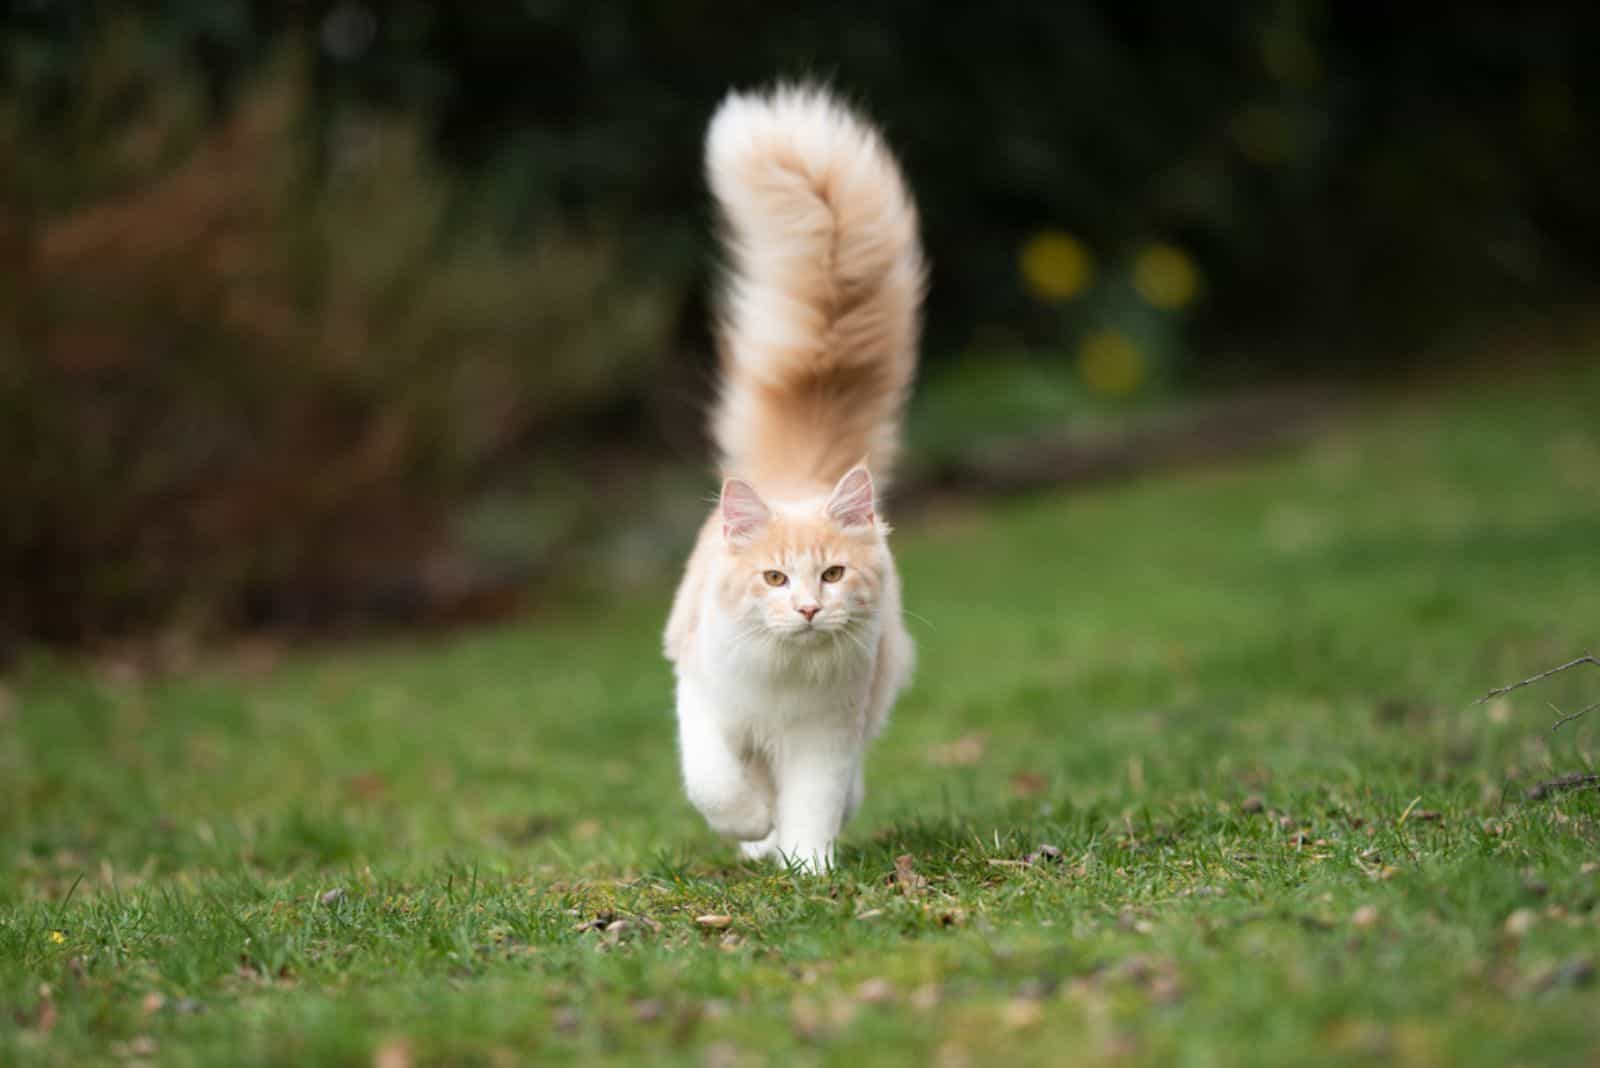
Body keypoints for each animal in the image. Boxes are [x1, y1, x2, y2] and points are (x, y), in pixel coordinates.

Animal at [659, 81, 928, 869]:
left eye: (832, 575)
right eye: (775, 578)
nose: (808, 609)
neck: (785, 675)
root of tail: (799, 474)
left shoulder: (823, 735)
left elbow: (811, 802)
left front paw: (807, 870)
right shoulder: (702, 699)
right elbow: (719, 786)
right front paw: (753, 831)